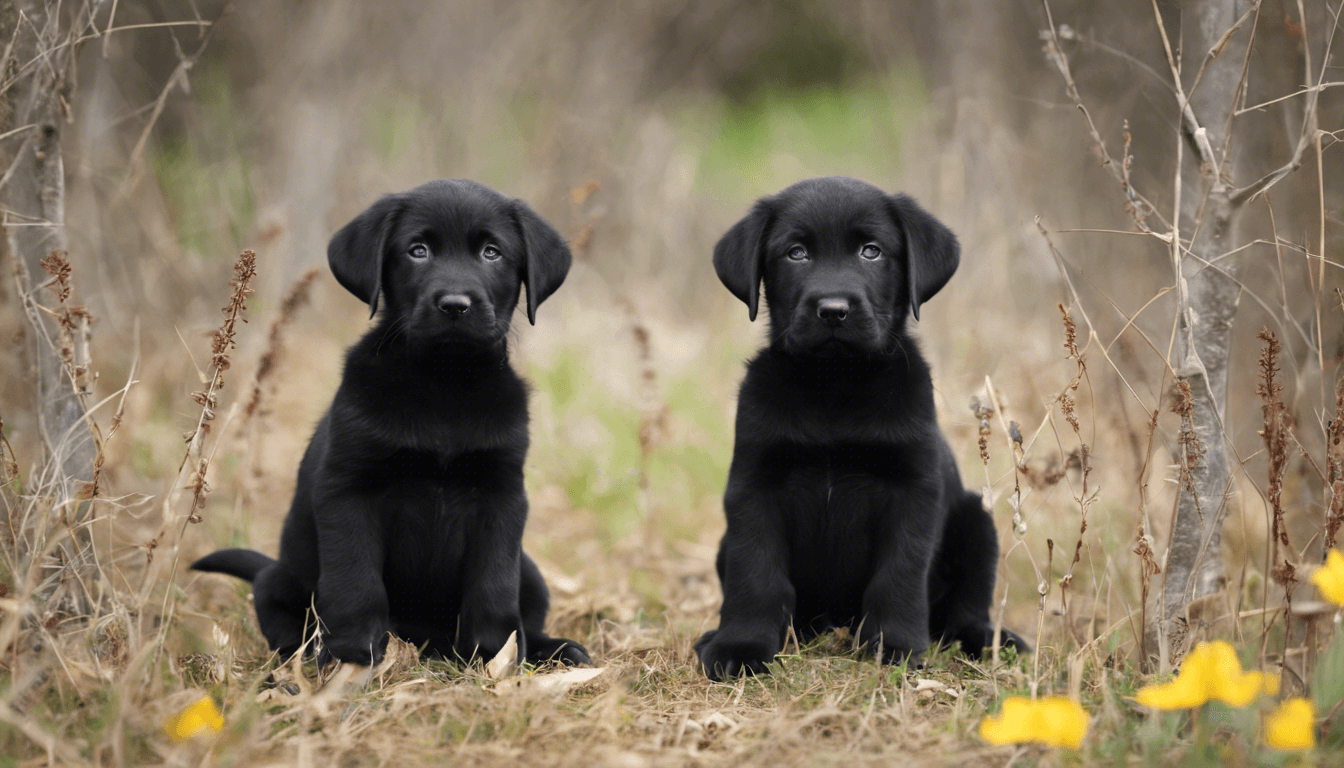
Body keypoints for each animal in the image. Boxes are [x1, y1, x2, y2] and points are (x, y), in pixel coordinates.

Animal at [193, 178, 588, 667]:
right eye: (417, 251)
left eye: (492, 252)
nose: (455, 305)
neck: (443, 384)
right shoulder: (349, 492)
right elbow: (355, 585)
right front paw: (351, 658)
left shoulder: (502, 494)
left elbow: (493, 587)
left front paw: (493, 660)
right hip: (278, 579)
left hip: (530, 569)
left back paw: (554, 649)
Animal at [693, 176, 1026, 677]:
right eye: (795, 253)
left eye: (871, 251)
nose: (833, 309)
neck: (836, 389)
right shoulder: (753, 486)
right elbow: (755, 574)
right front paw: (740, 646)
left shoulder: (913, 491)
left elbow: (898, 575)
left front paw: (895, 646)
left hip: (976, 520)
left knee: (967, 607)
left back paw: (991, 639)